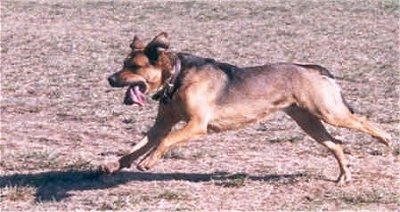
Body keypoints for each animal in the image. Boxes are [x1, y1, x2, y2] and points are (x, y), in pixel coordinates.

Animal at [102, 31, 390, 184]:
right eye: (123, 63)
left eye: (134, 66)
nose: (110, 79)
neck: (176, 77)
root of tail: (314, 69)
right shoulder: (161, 125)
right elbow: (137, 146)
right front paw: (113, 165)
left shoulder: (196, 125)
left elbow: (166, 141)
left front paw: (148, 162)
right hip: (308, 121)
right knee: (336, 144)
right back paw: (344, 177)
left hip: (329, 113)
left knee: (363, 121)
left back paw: (385, 139)